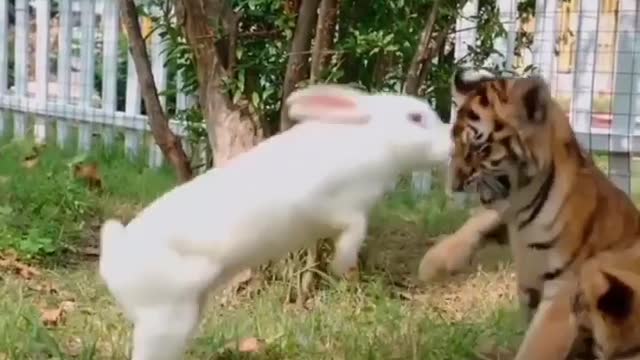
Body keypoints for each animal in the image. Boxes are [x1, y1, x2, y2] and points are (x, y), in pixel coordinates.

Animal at [97, 83, 452, 358]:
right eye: (416, 117)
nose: (451, 146)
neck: (373, 140)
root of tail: (114, 263)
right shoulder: (326, 205)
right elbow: (354, 227)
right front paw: (342, 265)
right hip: (165, 318)